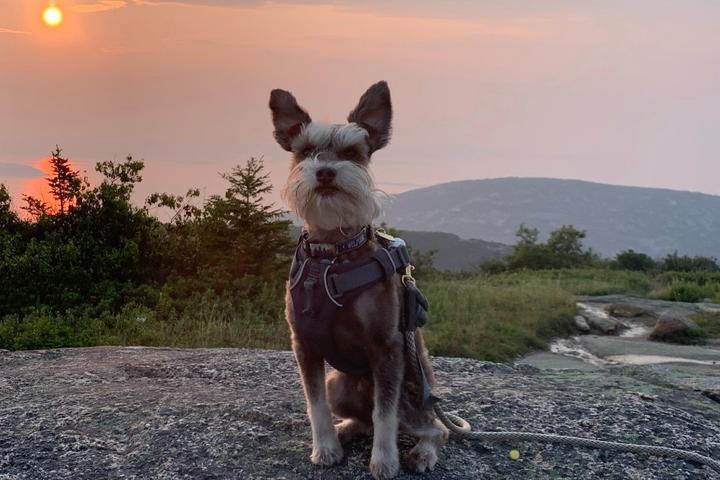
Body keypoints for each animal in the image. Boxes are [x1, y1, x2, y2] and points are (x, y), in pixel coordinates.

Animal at [268, 80, 448, 478]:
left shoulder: (387, 349)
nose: (325, 172)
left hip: (415, 390)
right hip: (340, 383)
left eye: (352, 153)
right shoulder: (304, 345)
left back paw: (423, 452)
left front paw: (384, 460)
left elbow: (385, 414)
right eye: (305, 151)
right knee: (362, 418)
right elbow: (315, 404)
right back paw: (344, 430)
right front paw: (325, 448)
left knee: (433, 427)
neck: (332, 254)